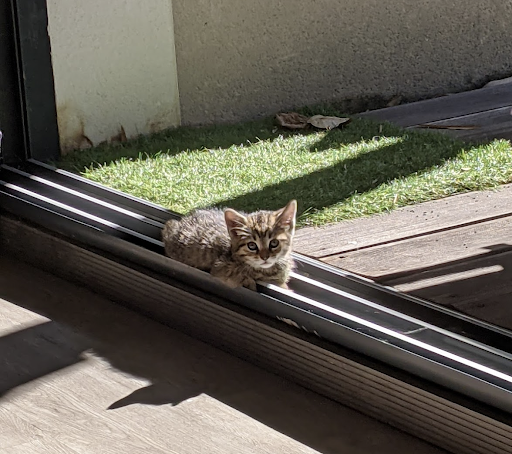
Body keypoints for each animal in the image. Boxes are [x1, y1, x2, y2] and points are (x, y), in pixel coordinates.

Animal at [162, 200, 297, 291]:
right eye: (252, 245)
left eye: (274, 243)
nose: (265, 257)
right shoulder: (221, 267)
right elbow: (239, 276)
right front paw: (249, 282)